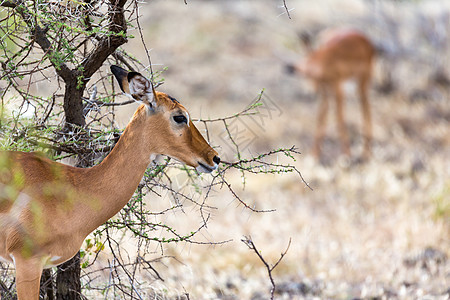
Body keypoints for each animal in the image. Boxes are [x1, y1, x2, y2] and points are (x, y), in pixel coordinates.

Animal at [288, 27, 376, 161]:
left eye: (310, 74)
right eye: (305, 75)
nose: (310, 93)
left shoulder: (337, 87)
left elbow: (340, 119)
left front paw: (346, 155)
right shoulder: (325, 90)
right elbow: (321, 118)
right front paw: (314, 155)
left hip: (363, 80)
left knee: (366, 107)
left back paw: (366, 153)